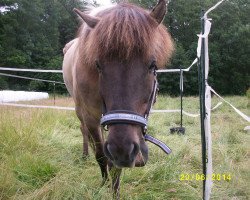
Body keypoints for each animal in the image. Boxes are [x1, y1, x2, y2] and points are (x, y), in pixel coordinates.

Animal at [62, 0, 174, 197]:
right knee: (84, 131)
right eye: (98, 65)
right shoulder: (90, 116)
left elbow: (115, 167)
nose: (122, 151)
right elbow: (100, 154)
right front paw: (103, 184)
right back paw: (85, 155)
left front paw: (114, 190)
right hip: (79, 110)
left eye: (153, 65)